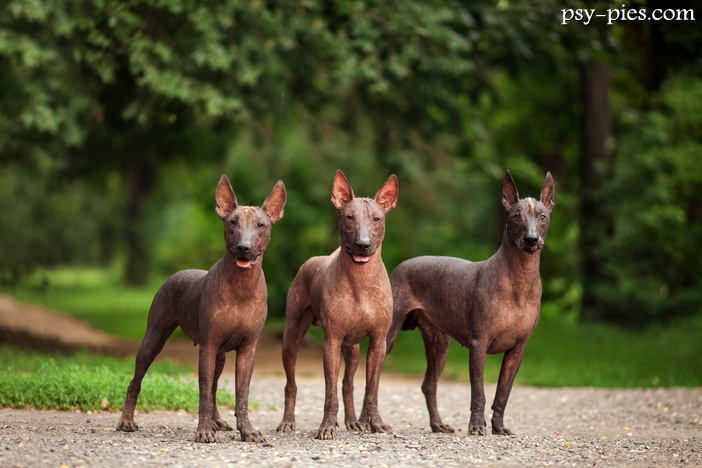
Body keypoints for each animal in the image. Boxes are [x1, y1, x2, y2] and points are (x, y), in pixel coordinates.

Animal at [117, 175, 288, 442]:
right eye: (232, 222)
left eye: (261, 225)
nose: (244, 246)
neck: (241, 285)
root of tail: (177, 273)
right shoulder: (208, 346)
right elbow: (204, 392)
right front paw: (204, 430)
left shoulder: (247, 350)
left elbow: (241, 395)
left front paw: (247, 431)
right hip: (154, 338)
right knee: (136, 379)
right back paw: (126, 420)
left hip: (219, 355)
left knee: (216, 386)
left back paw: (218, 420)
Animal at [280, 171, 402, 438]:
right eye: (349, 217)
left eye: (376, 219)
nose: (362, 244)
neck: (361, 281)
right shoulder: (331, 342)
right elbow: (329, 393)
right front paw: (326, 425)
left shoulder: (378, 342)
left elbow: (372, 390)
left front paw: (376, 423)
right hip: (291, 338)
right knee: (291, 384)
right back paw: (287, 422)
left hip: (353, 348)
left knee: (348, 383)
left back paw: (353, 421)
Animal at [384, 171, 556, 436]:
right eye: (516, 216)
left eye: (543, 217)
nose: (531, 239)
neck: (519, 278)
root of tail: (401, 266)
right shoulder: (478, 344)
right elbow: (479, 393)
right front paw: (476, 426)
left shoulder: (517, 350)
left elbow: (503, 394)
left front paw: (499, 427)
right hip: (388, 337)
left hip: (439, 344)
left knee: (428, 385)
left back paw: (438, 424)